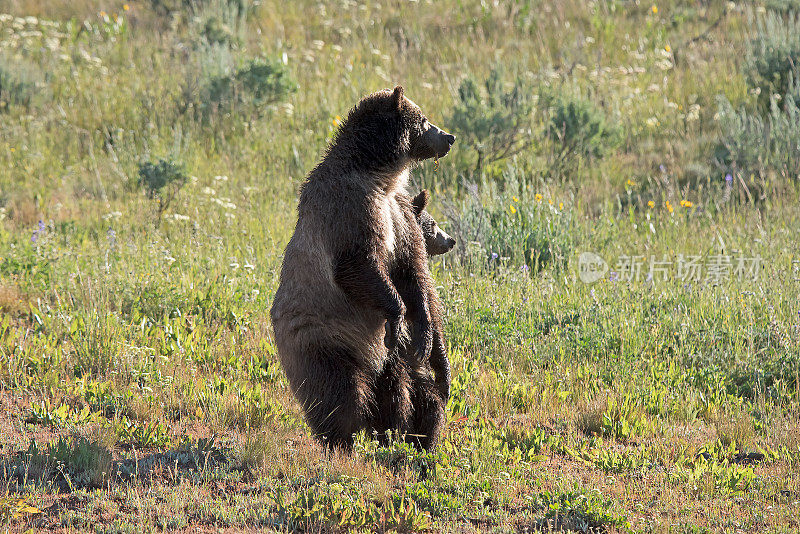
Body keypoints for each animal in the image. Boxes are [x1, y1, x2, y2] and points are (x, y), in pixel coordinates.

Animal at [270, 87, 454, 452]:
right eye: (424, 119)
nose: (449, 137)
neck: (380, 178)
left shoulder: (399, 213)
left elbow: (413, 276)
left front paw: (430, 344)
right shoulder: (351, 206)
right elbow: (357, 262)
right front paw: (397, 316)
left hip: (386, 360)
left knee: (409, 393)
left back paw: (409, 435)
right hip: (322, 338)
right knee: (340, 394)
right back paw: (343, 441)